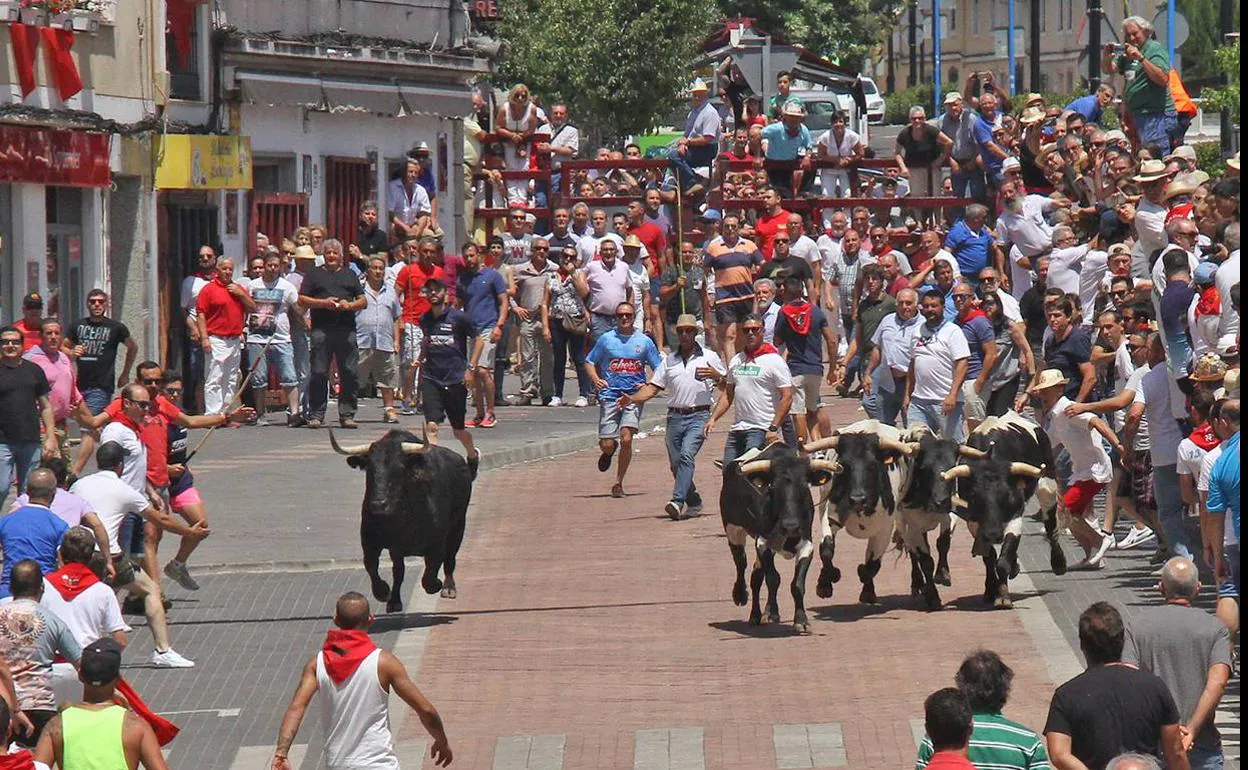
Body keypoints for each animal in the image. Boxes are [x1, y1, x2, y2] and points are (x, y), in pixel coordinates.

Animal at [329, 426, 469, 611]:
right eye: (369, 468)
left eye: (399, 468)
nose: (378, 505)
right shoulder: (371, 540)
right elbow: (371, 565)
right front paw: (383, 593)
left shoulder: (437, 544)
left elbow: (430, 574)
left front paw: (437, 585)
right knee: (399, 571)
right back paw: (394, 600)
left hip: (458, 527)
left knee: (450, 558)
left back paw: (449, 587)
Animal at [723, 441, 838, 633]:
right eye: (773, 486)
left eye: (805, 486)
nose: (790, 526)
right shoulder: (763, 542)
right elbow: (773, 579)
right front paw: (772, 613)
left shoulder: (806, 544)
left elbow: (797, 585)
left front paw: (801, 620)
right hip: (733, 530)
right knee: (741, 563)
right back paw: (741, 596)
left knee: (755, 576)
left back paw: (757, 614)